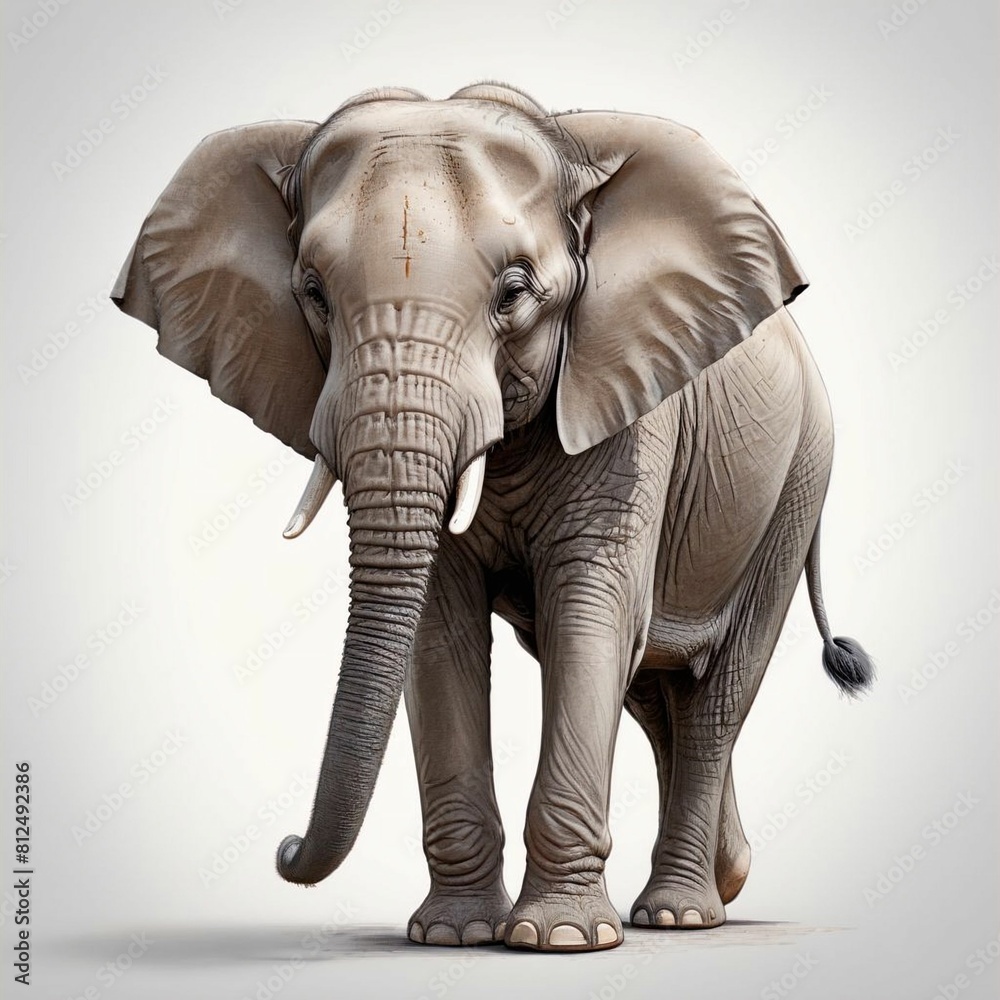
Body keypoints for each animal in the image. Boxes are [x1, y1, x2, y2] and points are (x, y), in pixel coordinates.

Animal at [112, 82, 874, 953]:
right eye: (312, 293)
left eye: (514, 291)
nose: (285, 846)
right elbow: (439, 630)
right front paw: (454, 934)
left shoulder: (626, 398)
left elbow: (591, 616)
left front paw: (562, 940)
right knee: (656, 697)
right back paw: (725, 880)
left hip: (799, 480)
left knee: (717, 697)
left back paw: (678, 914)